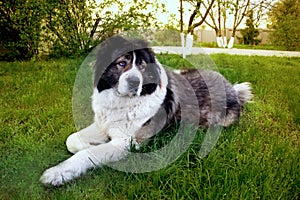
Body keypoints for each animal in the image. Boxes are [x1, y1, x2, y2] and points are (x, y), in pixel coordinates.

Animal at [39, 35, 251, 186]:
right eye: (121, 63)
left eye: (142, 67)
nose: (134, 82)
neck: (122, 103)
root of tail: (232, 88)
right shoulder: (102, 124)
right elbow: (72, 140)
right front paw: (89, 144)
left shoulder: (126, 142)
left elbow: (87, 154)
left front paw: (58, 173)